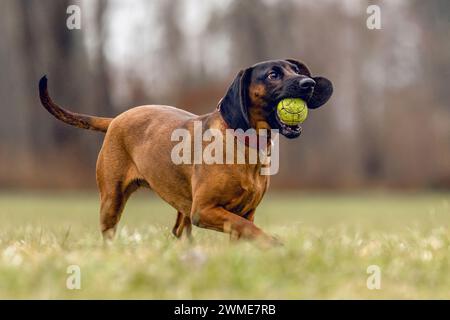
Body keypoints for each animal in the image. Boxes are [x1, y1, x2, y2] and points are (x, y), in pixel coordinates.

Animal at [38, 59, 332, 245]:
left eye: (295, 69)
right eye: (273, 75)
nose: (309, 83)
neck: (244, 143)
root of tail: (116, 119)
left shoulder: (244, 212)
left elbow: (244, 230)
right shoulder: (204, 210)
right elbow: (249, 229)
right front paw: (274, 244)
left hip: (180, 203)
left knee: (179, 231)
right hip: (112, 200)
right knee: (110, 231)